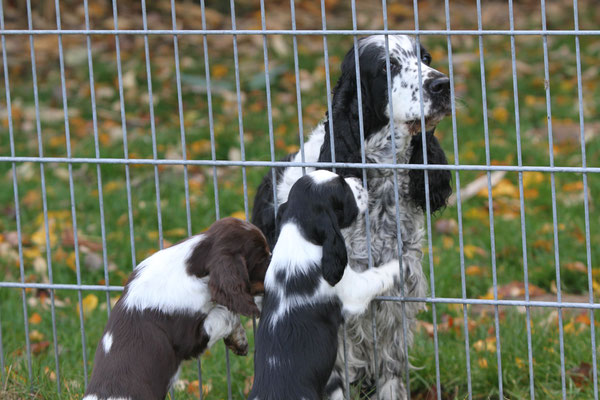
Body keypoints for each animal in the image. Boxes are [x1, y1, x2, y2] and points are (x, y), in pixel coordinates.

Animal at [248, 170, 404, 400]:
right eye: (344, 189)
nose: (359, 180)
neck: (299, 237)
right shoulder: (352, 290)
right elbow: (376, 276)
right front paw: (399, 264)